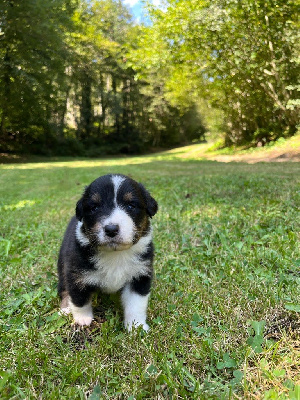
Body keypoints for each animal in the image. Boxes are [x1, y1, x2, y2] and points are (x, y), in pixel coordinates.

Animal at [57, 174, 158, 332]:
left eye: (131, 205)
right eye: (94, 207)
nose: (111, 229)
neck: (115, 255)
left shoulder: (139, 275)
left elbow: (136, 304)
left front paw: (136, 326)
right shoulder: (76, 274)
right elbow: (79, 300)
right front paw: (82, 320)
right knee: (63, 288)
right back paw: (66, 308)